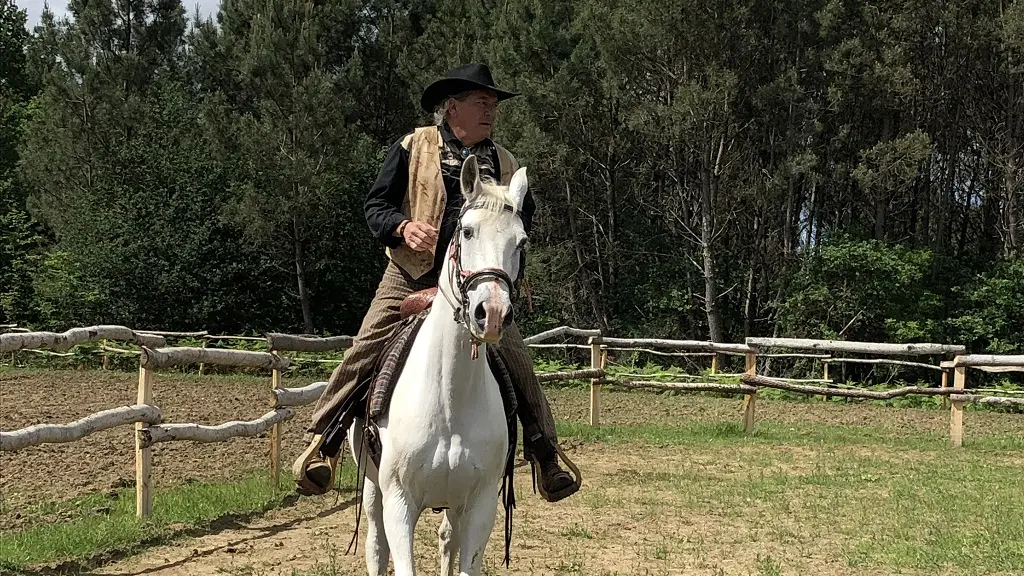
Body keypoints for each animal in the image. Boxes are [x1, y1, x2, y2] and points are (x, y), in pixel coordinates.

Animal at [350, 153, 532, 573]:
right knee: (375, 546)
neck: (449, 399)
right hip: (372, 489)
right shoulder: (399, 505)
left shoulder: (480, 507)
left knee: (447, 539)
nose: (491, 313)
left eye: (521, 242)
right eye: (466, 231)